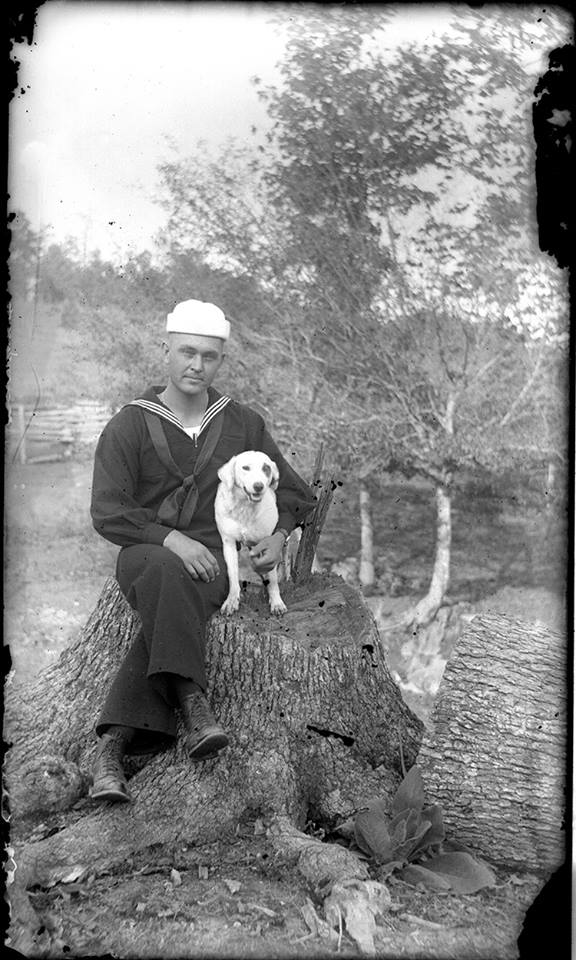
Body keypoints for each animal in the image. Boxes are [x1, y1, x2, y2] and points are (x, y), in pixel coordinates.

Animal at [215, 450, 286, 616]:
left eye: (266, 468)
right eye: (245, 468)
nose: (258, 486)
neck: (245, 508)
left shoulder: (268, 546)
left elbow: (272, 578)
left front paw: (276, 602)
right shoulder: (229, 543)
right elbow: (232, 575)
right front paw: (232, 600)